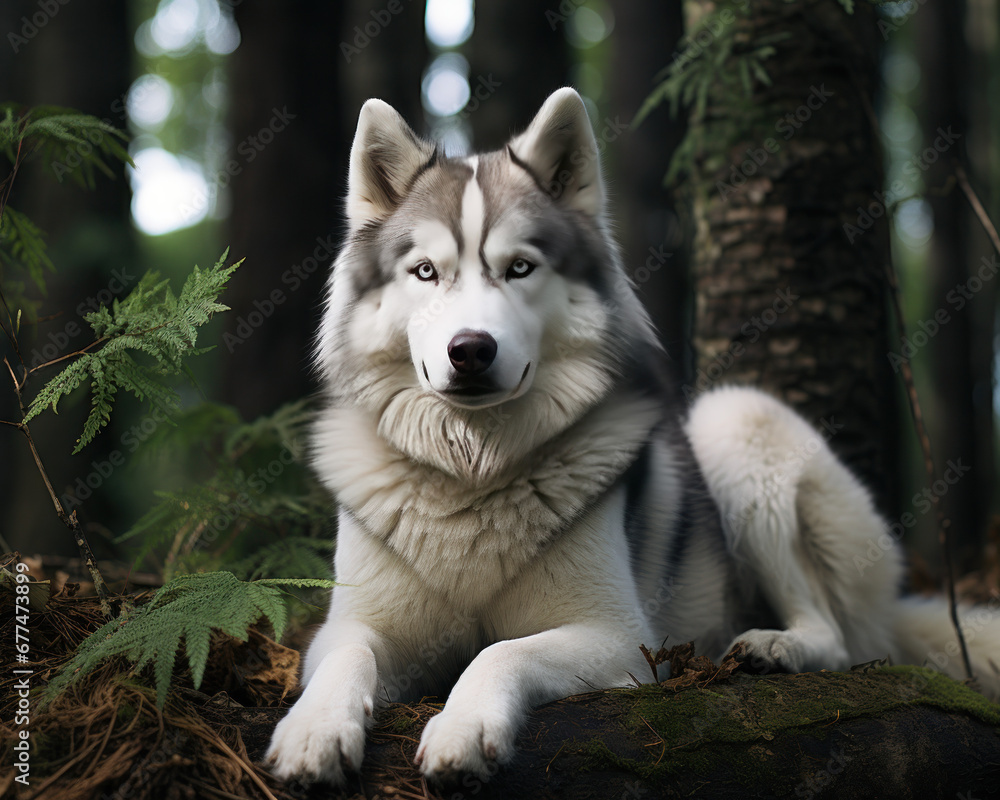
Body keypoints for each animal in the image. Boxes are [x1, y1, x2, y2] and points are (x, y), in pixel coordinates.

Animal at [266, 87, 1000, 785]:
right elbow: (344, 659)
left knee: (839, 637)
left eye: (520, 268)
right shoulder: (350, 627)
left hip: (732, 420)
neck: (474, 474)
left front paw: (463, 728)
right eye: (425, 271)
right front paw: (313, 734)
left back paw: (775, 647)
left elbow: (496, 651)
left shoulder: (619, 637)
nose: (470, 350)